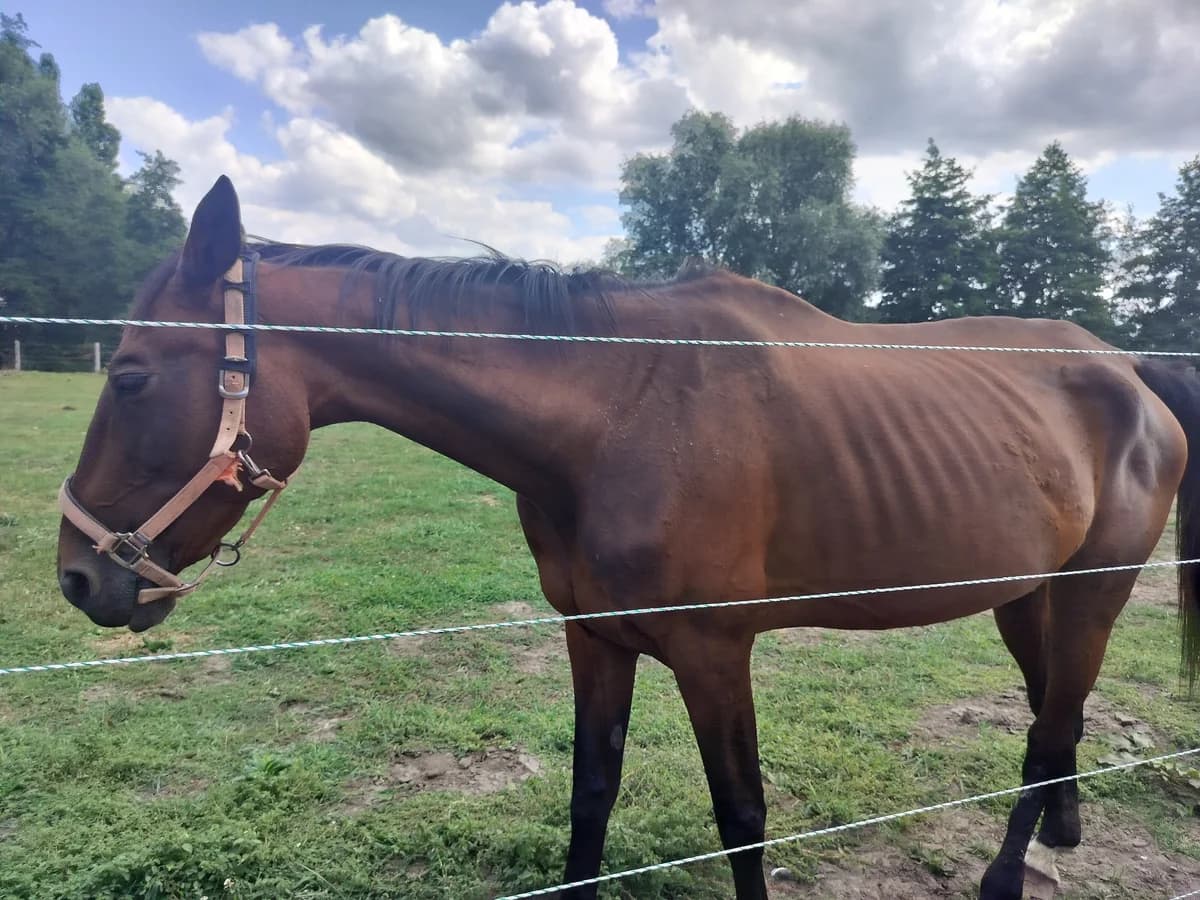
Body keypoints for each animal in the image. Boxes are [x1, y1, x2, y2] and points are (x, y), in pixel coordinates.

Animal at [55, 175, 1200, 900]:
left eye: (132, 376)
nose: (76, 579)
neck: (621, 411)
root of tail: (1130, 371)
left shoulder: (712, 651)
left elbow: (742, 816)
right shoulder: (595, 639)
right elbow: (589, 794)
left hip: (1094, 591)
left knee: (1051, 727)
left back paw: (1007, 877)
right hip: (1029, 596)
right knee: (1056, 715)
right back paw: (1062, 833)